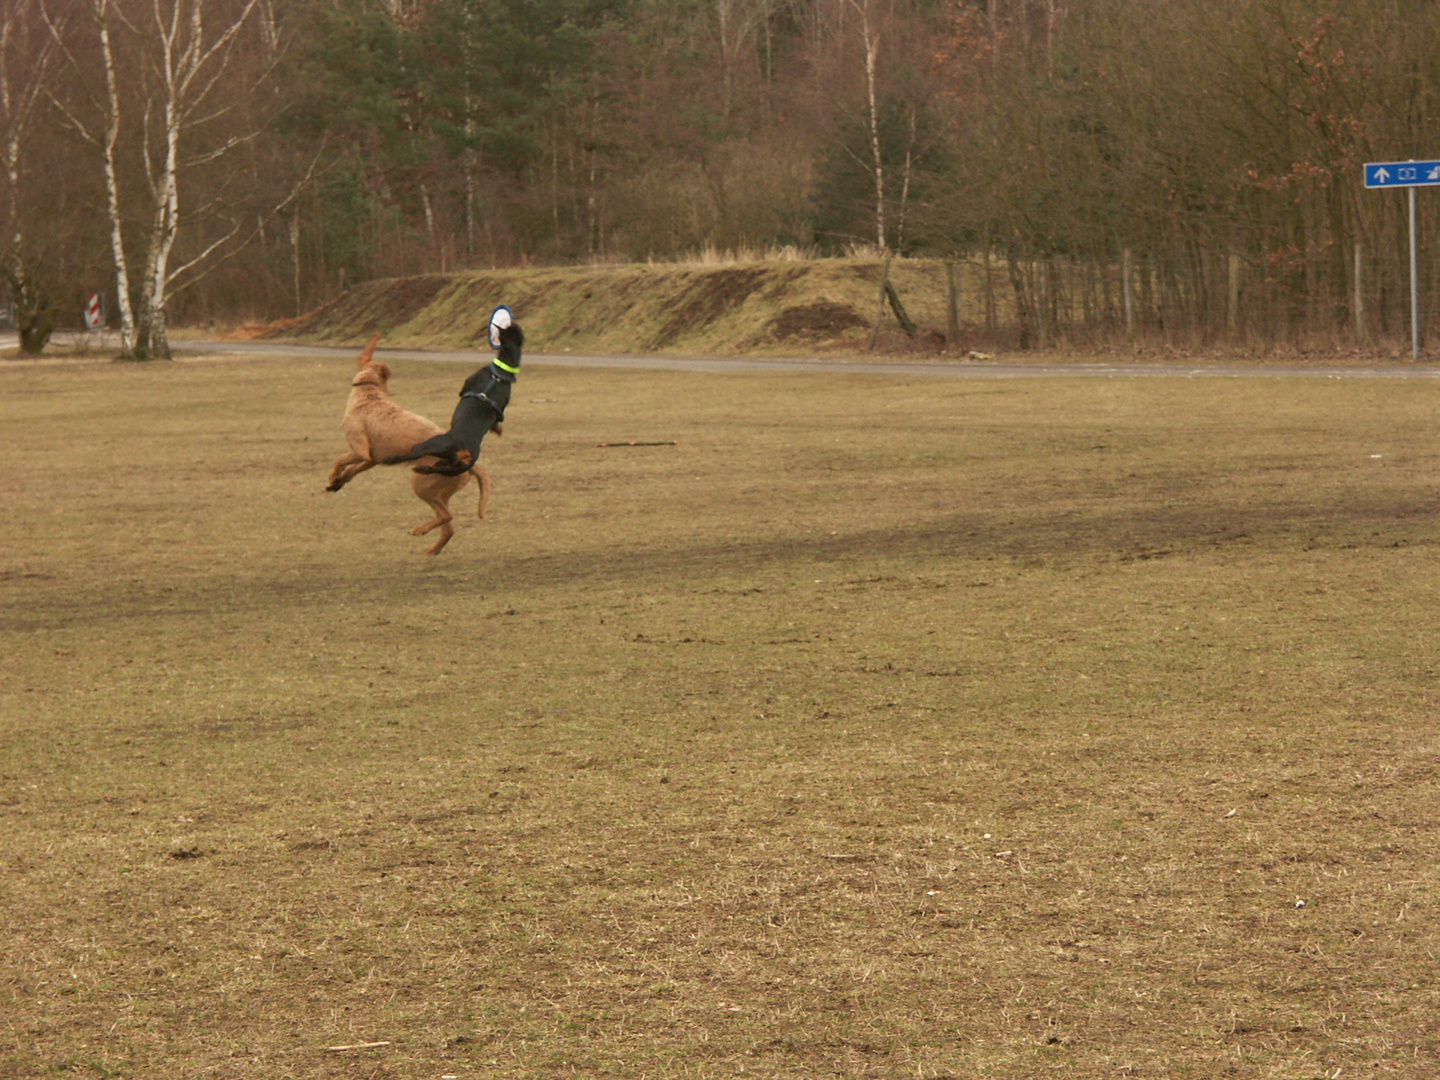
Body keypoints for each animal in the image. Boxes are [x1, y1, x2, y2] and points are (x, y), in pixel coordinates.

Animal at [325, 336, 492, 558]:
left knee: (448, 515)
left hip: (421, 484)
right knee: (449, 527)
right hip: (437, 491)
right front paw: (337, 483)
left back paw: (419, 530)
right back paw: (433, 548)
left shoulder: (361, 452)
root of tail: (469, 459)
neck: (369, 392)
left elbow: (340, 460)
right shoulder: (371, 460)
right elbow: (351, 470)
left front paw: (333, 477)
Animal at [383, 316, 524, 478]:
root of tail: (464, 449)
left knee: (415, 453)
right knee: (439, 469)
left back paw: (390, 459)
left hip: (433, 444)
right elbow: (497, 421)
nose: (511, 321)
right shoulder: (501, 410)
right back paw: (423, 469)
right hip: (459, 467)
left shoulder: (465, 388)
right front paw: (498, 430)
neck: (501, 372)